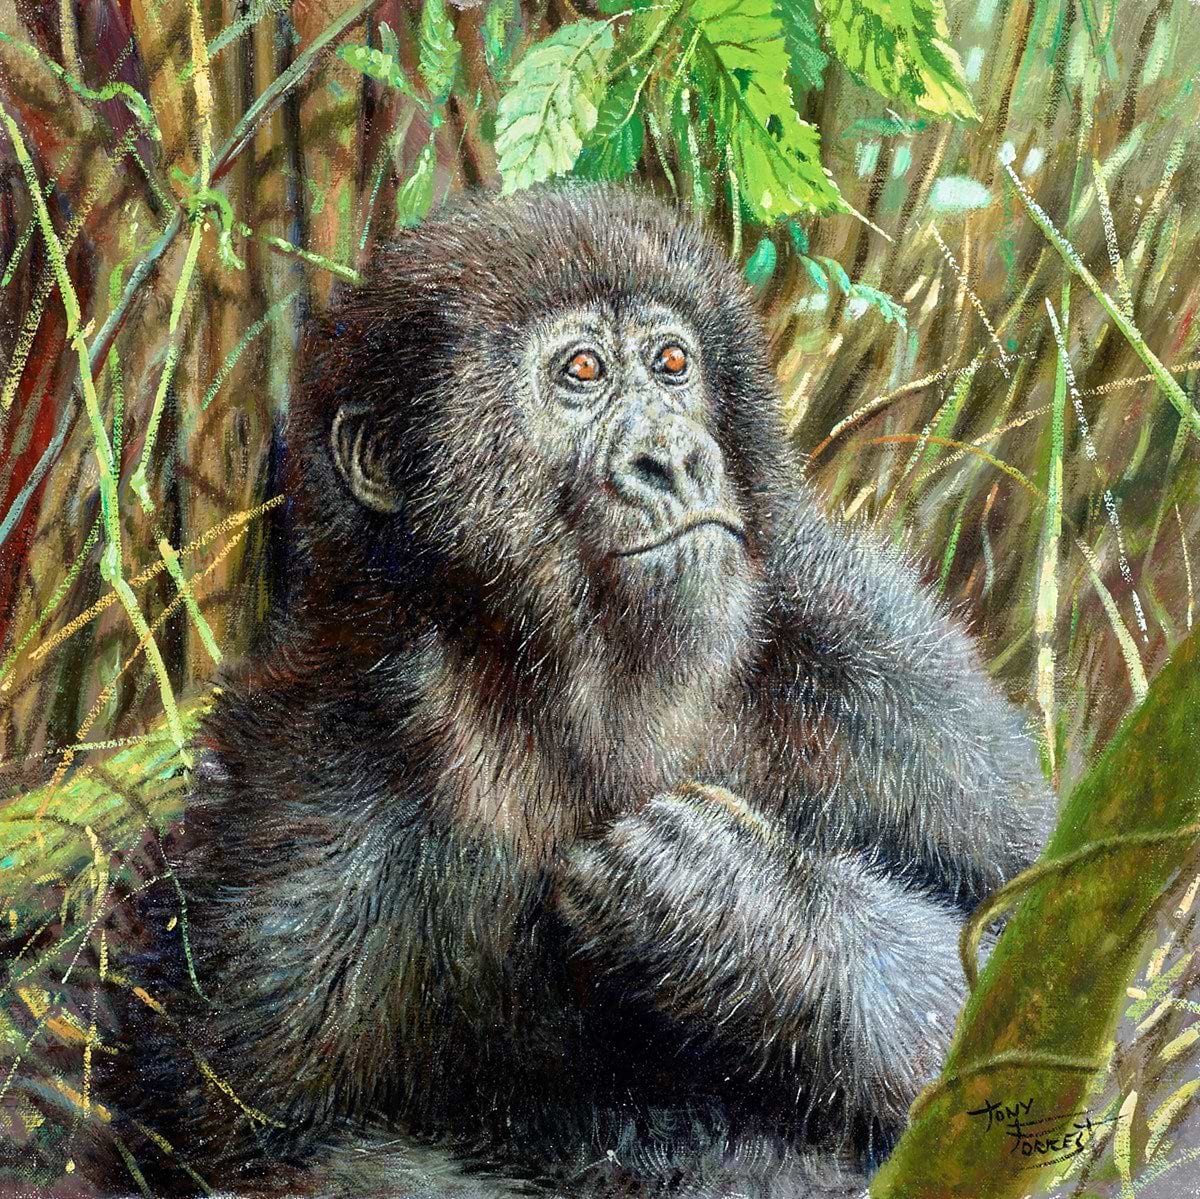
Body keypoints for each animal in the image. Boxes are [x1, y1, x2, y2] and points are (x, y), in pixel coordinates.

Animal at [99, 185, 1051, 1199]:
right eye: (583, 372)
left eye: (673, 365)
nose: (674, 459)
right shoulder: (311, 761)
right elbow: (256, 1140)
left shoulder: (879, 660)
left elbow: (1046, 972)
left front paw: (740, 913)